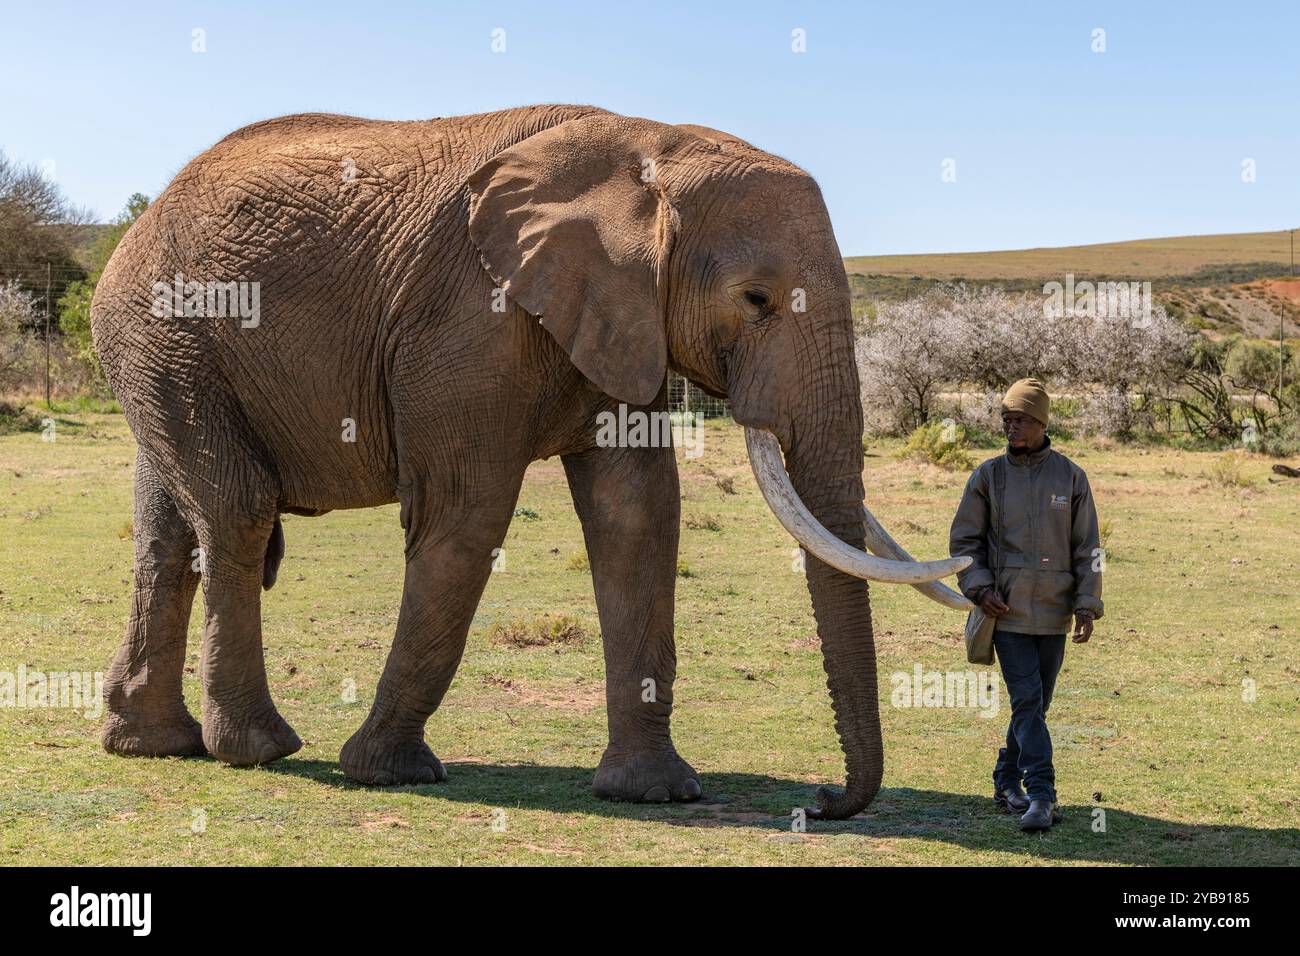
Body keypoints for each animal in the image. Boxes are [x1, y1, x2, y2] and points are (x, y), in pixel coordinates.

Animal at [89, 106, 967, 822]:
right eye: (756, 300)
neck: (653, 147)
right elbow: (464, 517)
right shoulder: (470, 320)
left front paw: (655, 793)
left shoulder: (617, 314)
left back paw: (152, 743)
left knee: (166, 529)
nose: (822, 800)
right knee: (236, 514)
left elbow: (638, 515)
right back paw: (261, 749)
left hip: (166, 347)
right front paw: (388, 772)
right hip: (164, 327)